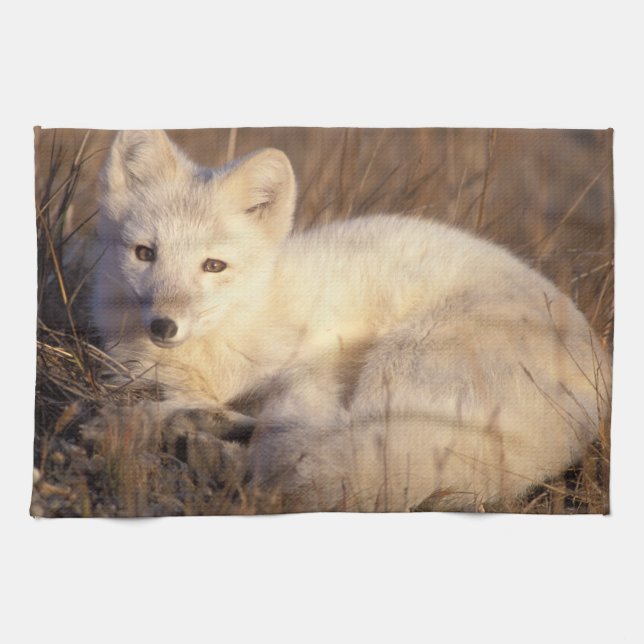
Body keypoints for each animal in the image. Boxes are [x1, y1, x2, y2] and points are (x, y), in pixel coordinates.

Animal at [93, 129, 611, 512]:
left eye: (214, 266)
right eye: (145, 253)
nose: (163, 327)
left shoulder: (319, 365)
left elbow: (278, 424)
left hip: (397, 364)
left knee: (308, 452)